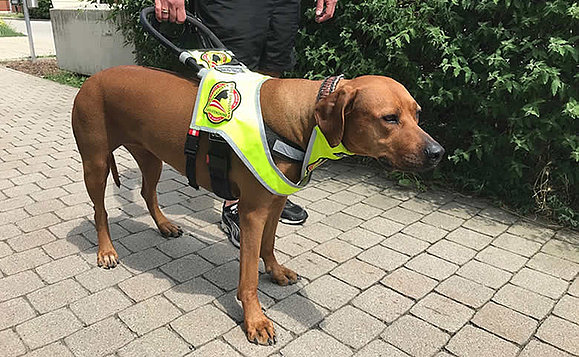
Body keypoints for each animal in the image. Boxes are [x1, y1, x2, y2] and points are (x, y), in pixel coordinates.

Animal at [72, 65, 444, 344]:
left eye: (417, 114)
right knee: (100, 210)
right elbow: (248, 278)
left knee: (148, 193)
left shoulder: (276, 200)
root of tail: (93, 77)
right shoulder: (252, 212)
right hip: (95, 162)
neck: (302, 120)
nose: (438, 153)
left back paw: (164, 224)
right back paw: (106, 251)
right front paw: (255, 320)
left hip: (151, 156)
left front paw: (275, 271)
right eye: (389, 118)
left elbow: (270, 243)